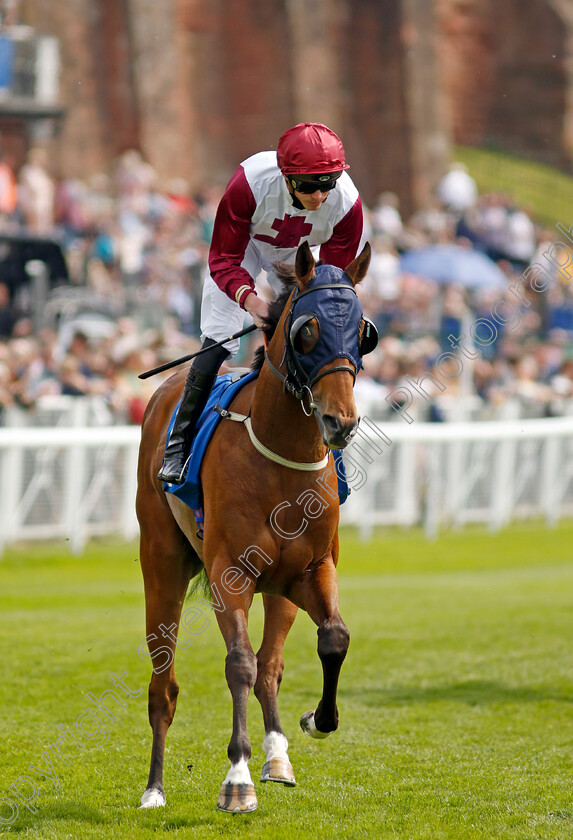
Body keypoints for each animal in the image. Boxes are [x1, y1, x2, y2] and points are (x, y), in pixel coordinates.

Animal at [137, 238, 374, 812]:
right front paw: (237, 779)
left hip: (279, 589)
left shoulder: (311, 570)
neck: (282, 456)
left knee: (271, 666)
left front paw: (315, 720)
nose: (340, 422)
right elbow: (238, 663)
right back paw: (154, 788)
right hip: (161, 565)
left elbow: (333, 638)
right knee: (164, 684)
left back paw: (278, 758)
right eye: (307, 330)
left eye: (364, 332)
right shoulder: (231, 575)